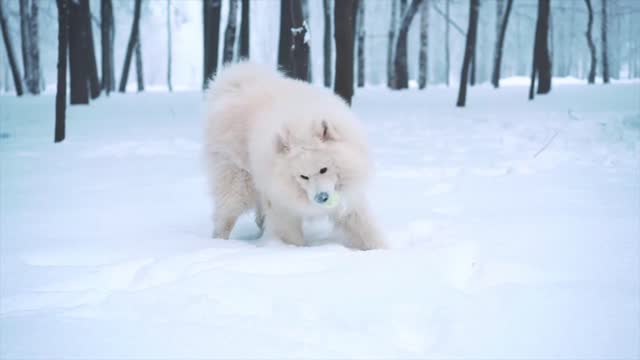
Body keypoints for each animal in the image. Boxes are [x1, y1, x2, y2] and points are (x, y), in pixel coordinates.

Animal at [205, 62, 384, 250]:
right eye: (303, 176)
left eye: (324, 169)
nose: (321, 198)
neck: (301, 127)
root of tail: (234, 83)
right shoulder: (283, 203)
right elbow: (291, 235)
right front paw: (294, 251)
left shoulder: (349, 200)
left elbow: (366, 230)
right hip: (236, 182)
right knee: (225, 216)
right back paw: (220, 242)